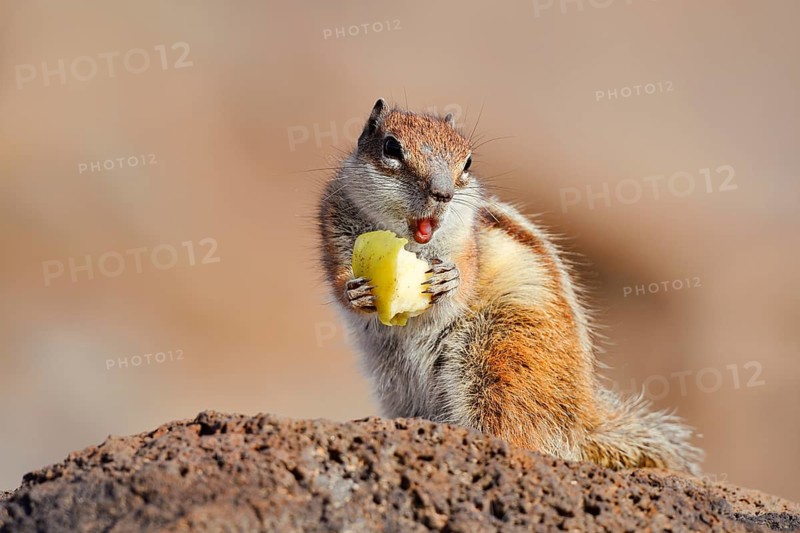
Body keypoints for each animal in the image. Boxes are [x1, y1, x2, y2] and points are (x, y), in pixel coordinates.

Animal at [317, 99, 703, 474]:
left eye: (467, 162)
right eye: (391, 147)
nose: (443, 194)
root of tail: (582, 423)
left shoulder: (468, 246)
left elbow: (466, 278)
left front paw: (450, 280)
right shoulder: (333, 222)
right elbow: (337, 278)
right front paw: (354, 291)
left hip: (501, 355)